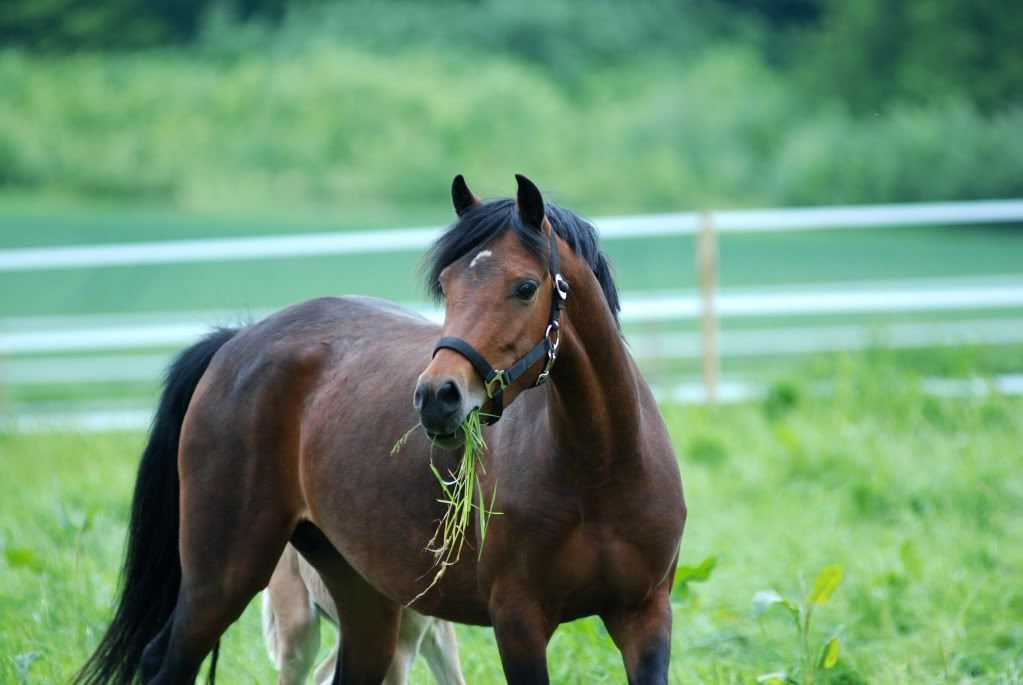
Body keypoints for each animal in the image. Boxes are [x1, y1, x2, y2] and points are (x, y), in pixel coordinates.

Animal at [75, 174, 687, 682]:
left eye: (525, 287)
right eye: (447, 284)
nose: (437, 398)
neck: (598, 471)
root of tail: (237, 342)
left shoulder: (645, 617)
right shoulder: (519, 622)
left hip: (364, 601)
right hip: (221, 577)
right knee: (166, 661)